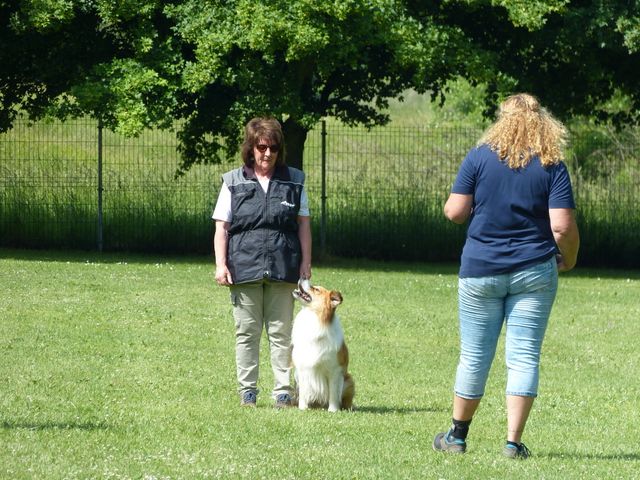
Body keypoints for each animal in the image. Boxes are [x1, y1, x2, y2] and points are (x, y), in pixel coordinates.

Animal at [291, 278, 355, 412]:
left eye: (316, 289)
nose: (302, 277)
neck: (315, 317)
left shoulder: (334, 370)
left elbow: (333, 392)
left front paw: (333, 410)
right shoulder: (302, 368)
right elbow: (304, 391)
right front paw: (302, 408)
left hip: (349, 380)